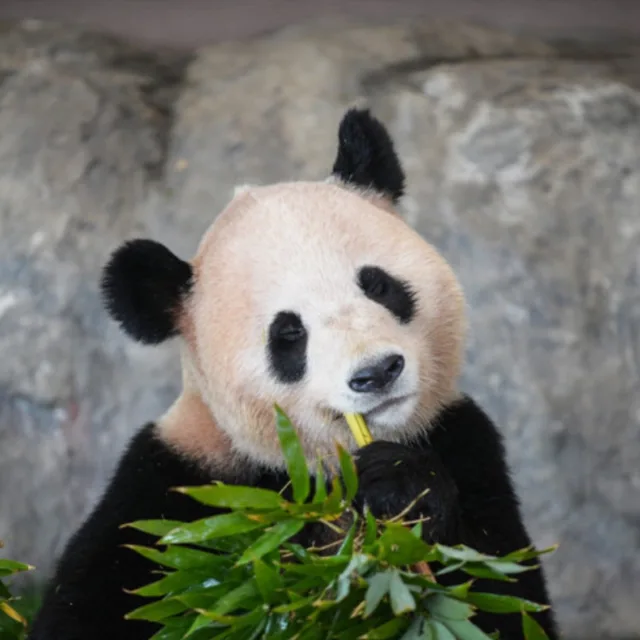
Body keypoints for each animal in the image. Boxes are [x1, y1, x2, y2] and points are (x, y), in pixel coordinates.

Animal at [28, 108, 559, 640]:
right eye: (288, 333)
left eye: (379, 286)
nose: (376, 373)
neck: (319, 475)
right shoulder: (175, 485)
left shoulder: (465, 442)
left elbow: (497, 600)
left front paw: (403, 489)